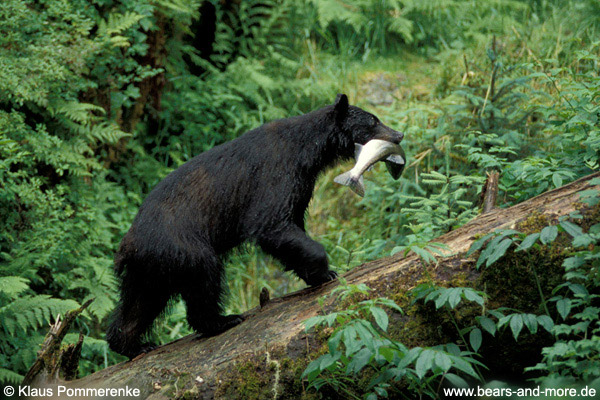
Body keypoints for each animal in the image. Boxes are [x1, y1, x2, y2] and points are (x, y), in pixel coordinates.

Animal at [107, 94, 404, 360]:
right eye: (373, 121)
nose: (399, 134)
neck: (308, 149)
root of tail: (128, 244)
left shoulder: (301, 184)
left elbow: (292, 225)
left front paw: (319, 273)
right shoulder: (276, 173)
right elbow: (271, 223)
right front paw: (323, 269)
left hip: (152, 267)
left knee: (139, 304)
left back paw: (132, 344)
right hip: (183, 246)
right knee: (204, 280)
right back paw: (222, 320)